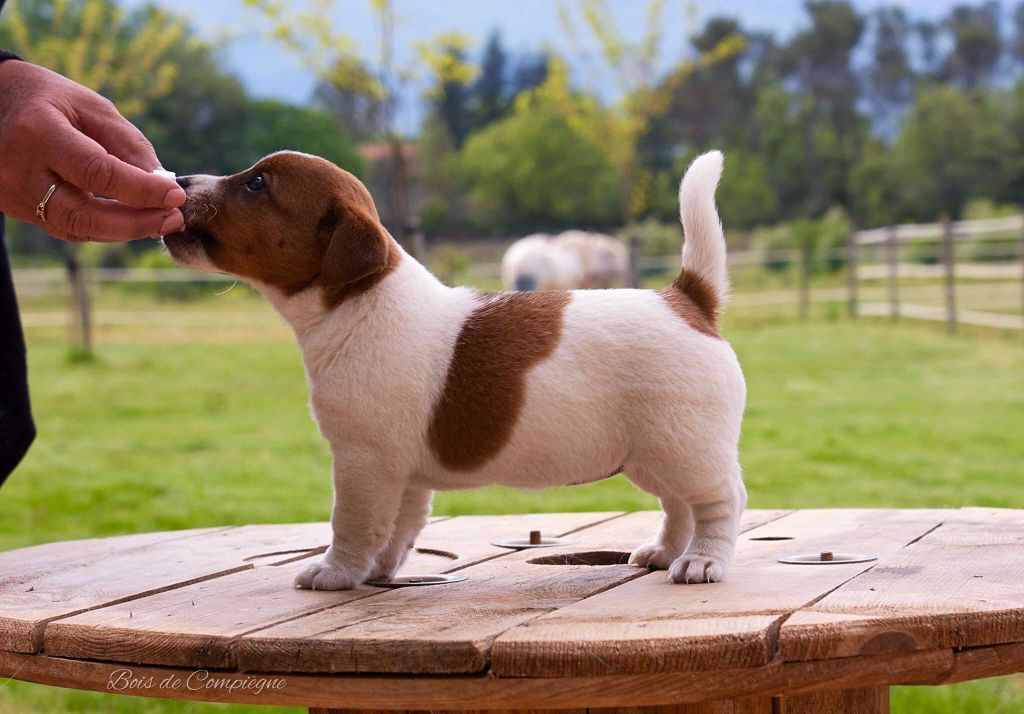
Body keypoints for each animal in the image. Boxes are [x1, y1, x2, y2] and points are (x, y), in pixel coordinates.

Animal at [163, 148, 749, 585]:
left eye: (257, 184)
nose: (179, 179)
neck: (360, 304)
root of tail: (686, 298)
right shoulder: (401, 474)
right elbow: (396, 528)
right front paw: (377, 572)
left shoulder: (361, 461)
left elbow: (351, 524)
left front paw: (336, 573)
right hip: (653, 453)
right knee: (679, 504)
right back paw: (664, 552)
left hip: (684, 445)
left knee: (720, 501)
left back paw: (702, 561)